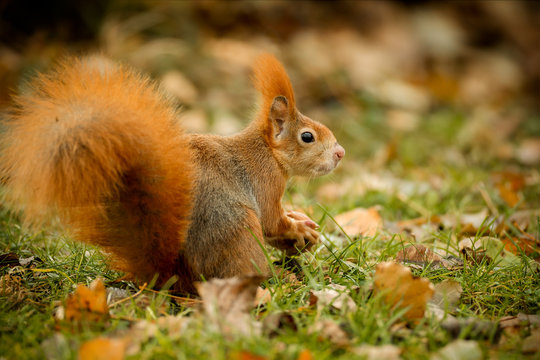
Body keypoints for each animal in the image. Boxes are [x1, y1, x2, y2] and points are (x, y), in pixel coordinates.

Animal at [0, 54, 344, 296]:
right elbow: (273, 223)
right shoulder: (265, 184)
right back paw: (281, 281)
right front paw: (300, 230)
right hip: (241, 234)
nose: (340, 153)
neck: (268, 153)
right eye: (307, 137)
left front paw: (301, 219)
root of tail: (175, 277)